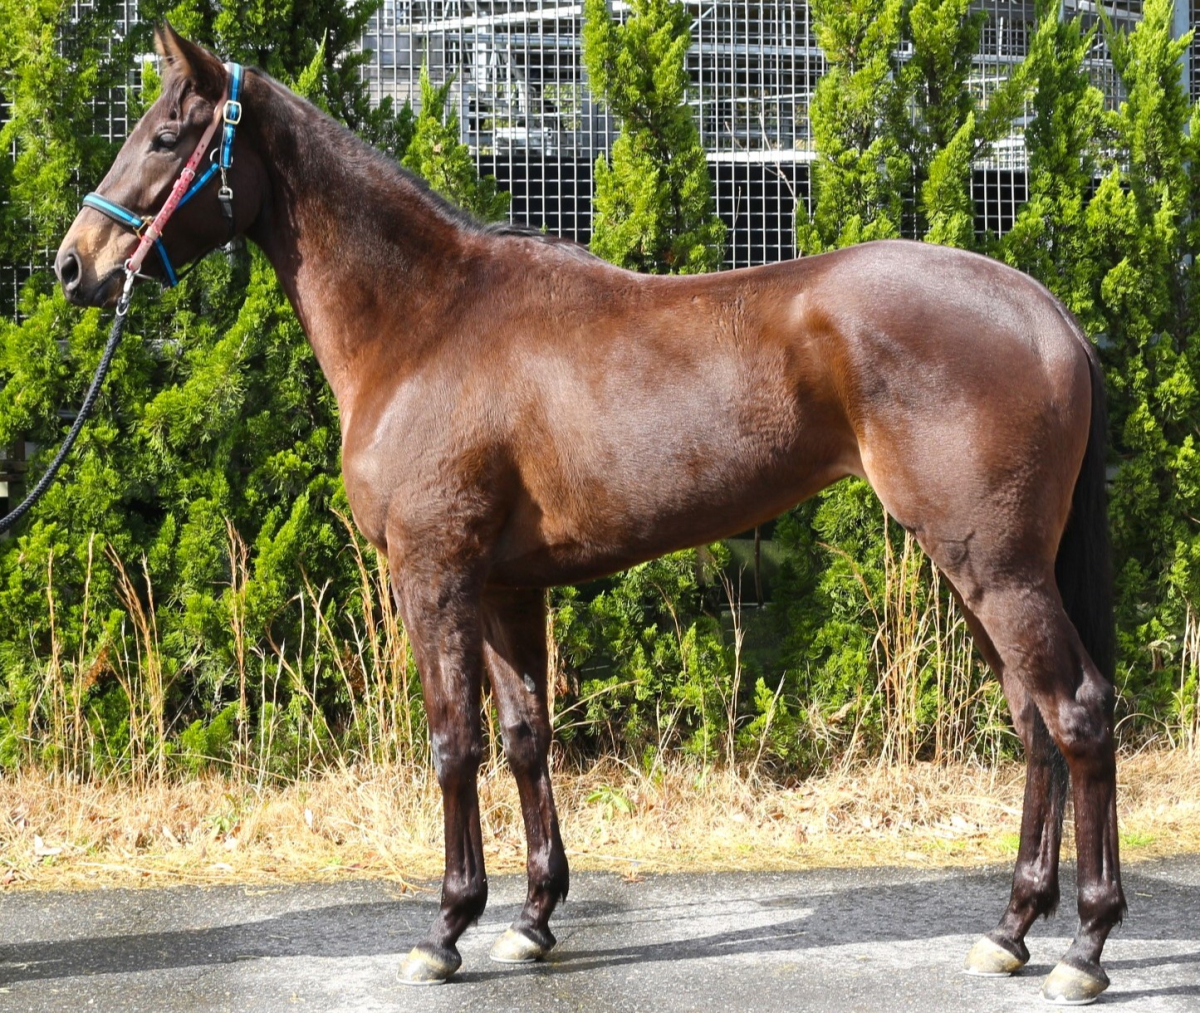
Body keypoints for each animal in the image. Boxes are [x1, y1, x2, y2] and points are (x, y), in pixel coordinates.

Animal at [56, 25, 1123, 1003]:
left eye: (165, 135)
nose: (73, 265)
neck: (426, 321)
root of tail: (1046, 313)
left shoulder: (433, 574)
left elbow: (453, 743)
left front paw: (444, 929)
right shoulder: (504, 587)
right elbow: (526, 736)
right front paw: (529, 919)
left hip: (995, 568)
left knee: (1075, 713)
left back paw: (1083, 946)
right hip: (983, 572)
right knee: (1036, 724)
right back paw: (1012, 929)